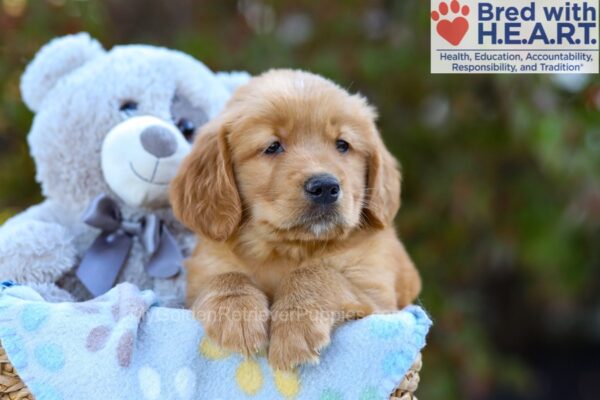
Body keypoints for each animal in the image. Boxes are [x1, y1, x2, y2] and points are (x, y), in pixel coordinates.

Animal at [170, 69, 422, 372]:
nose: (325, 187)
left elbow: (317, 273)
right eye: (272, 146)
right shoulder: (201, 275)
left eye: (342, 145)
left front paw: (295, 328)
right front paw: (237, 316)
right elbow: (225, 276)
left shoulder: (378, 298)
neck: (287, 249)